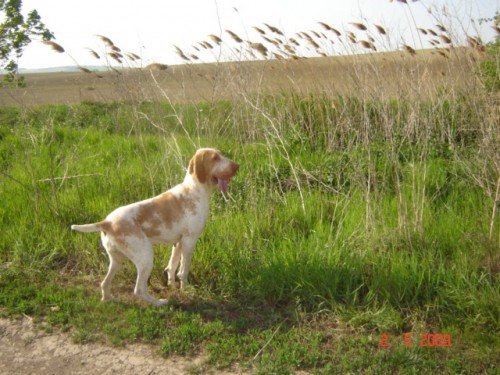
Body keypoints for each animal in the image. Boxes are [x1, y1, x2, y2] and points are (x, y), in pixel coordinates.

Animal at [71, 148, 240, 306]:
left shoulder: (178, 242)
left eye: (221, 154)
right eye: (215, 158)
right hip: (145, 257)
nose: (237, 166)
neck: (194, 189)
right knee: (138, 290)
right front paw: (186, 290)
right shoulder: (189, 241)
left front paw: (172, 286)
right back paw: (159, 303)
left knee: (104, 283)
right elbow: (183, 272)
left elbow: (172, 267)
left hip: (117, 259)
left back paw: (109, 299)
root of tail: (107, 222)